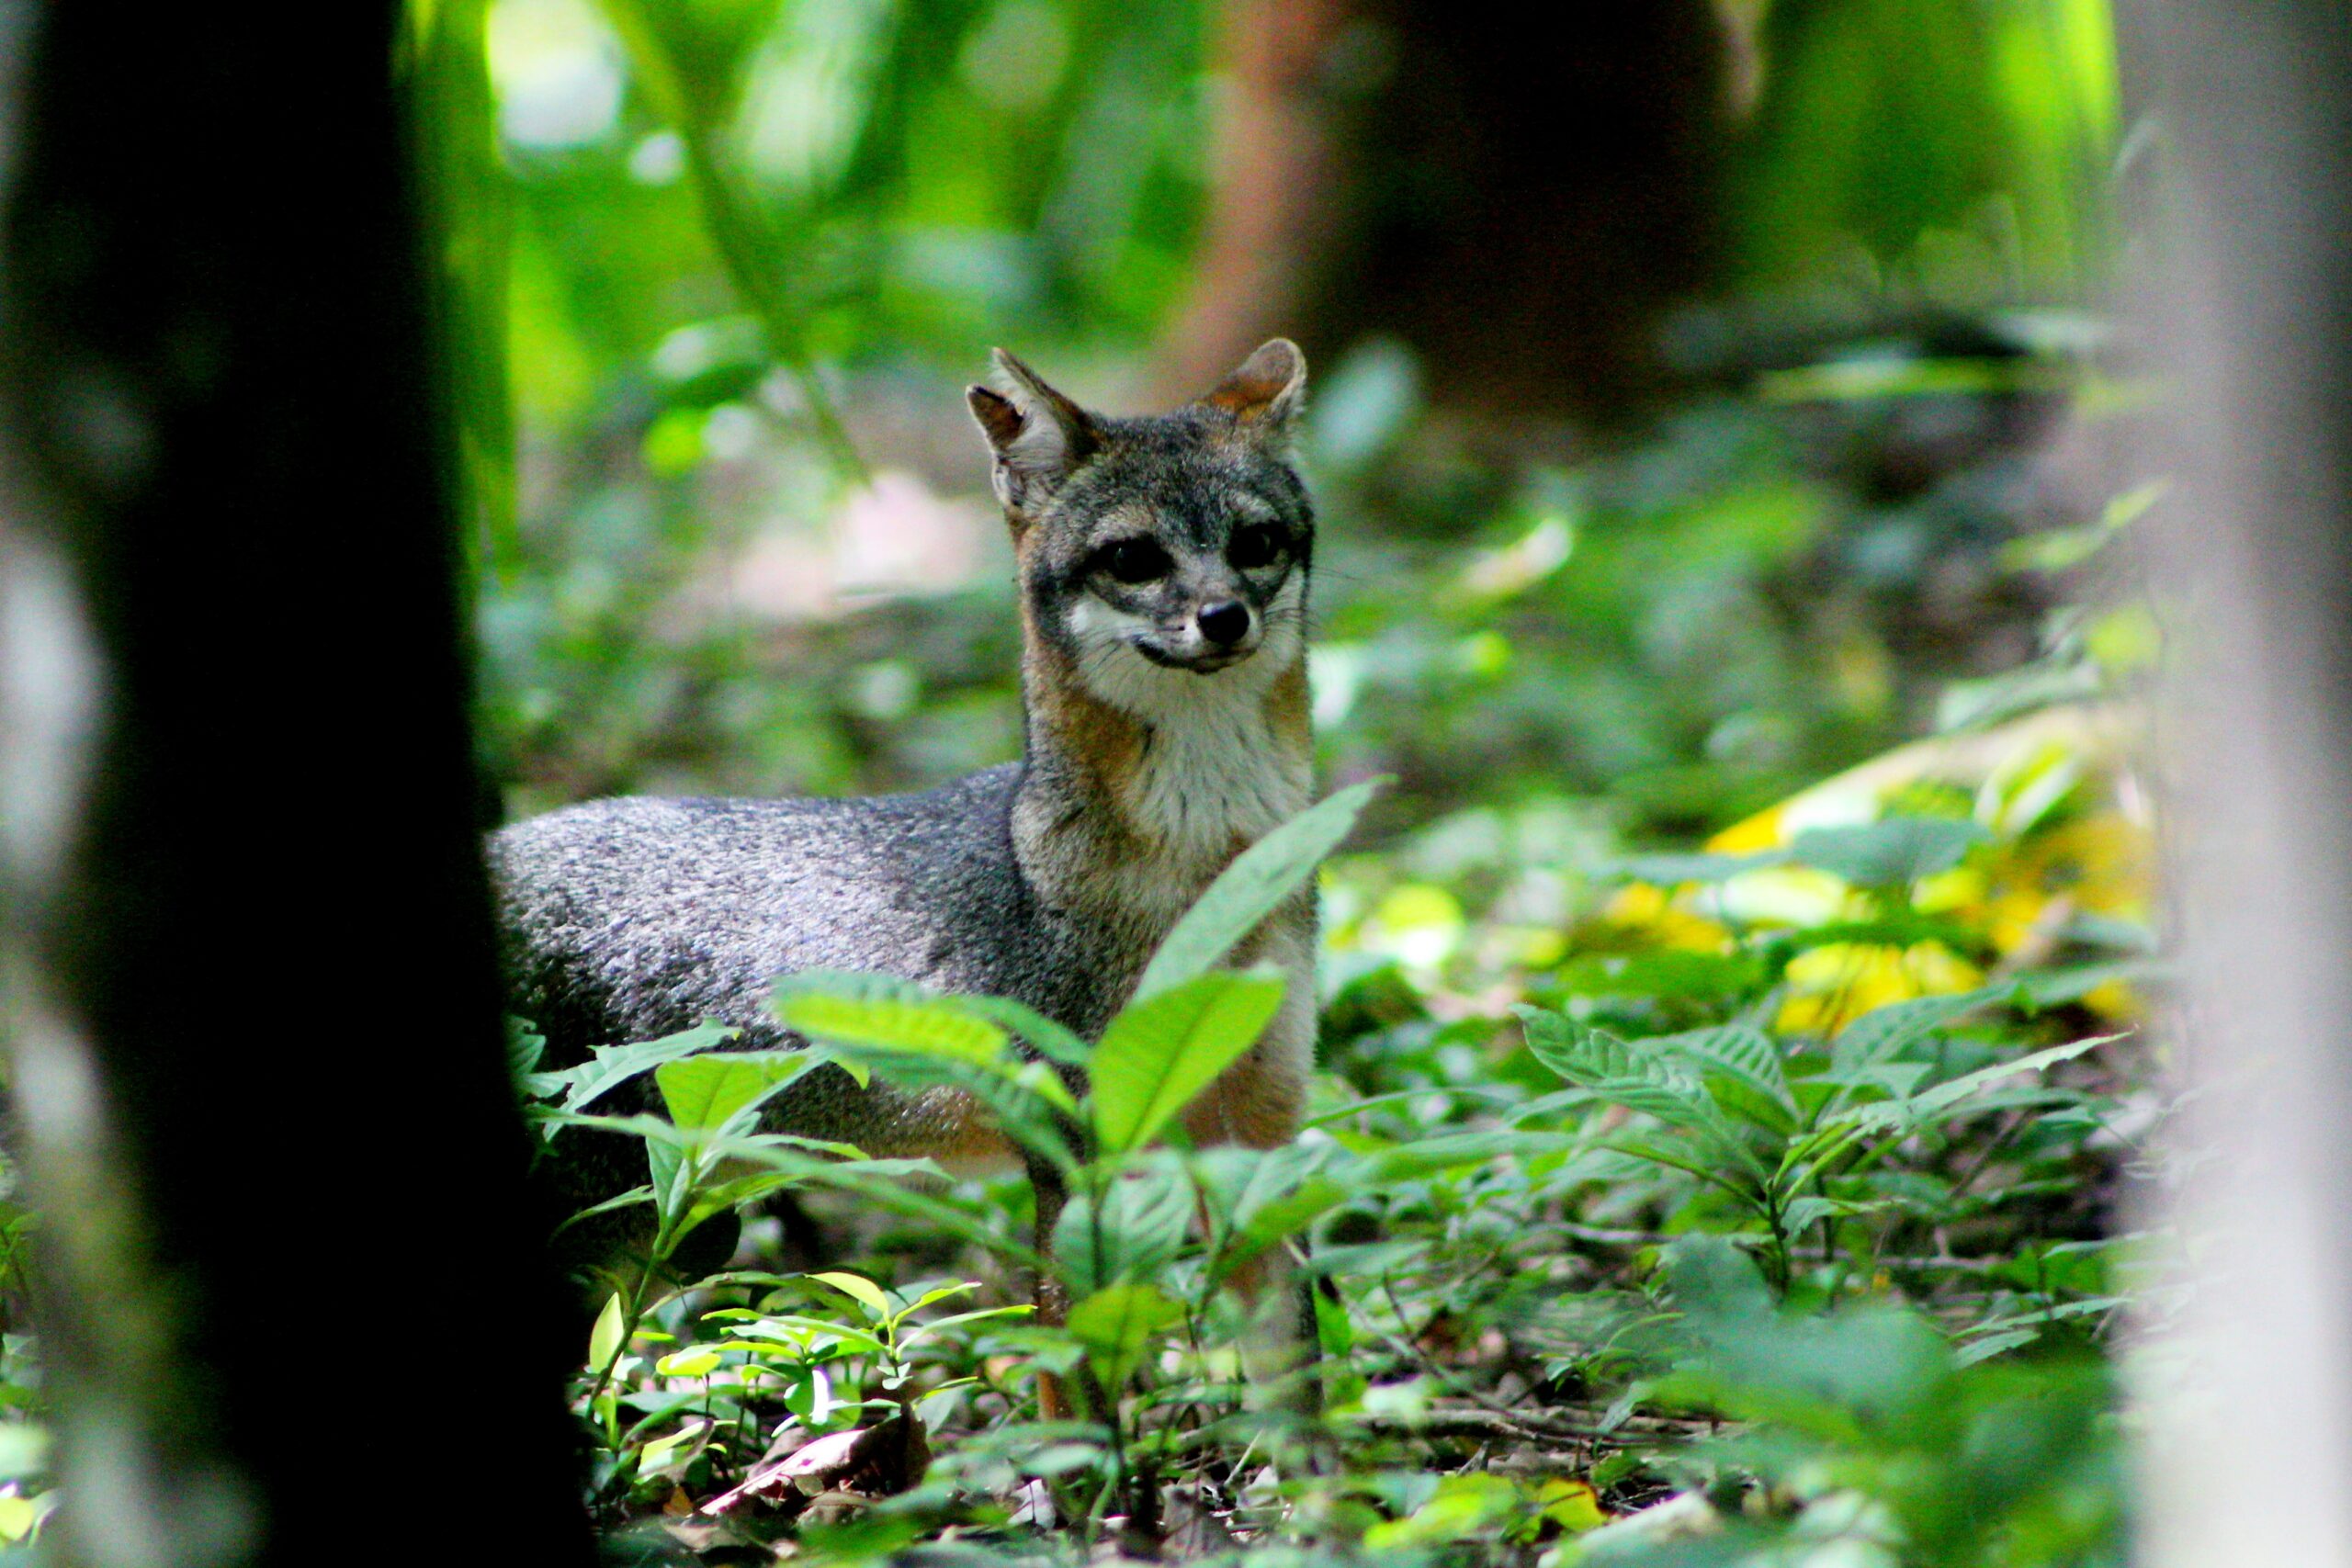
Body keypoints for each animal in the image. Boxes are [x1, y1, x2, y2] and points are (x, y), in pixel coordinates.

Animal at [491, 340, 1319, 1388]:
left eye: (1256, 543)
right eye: (1134, 558)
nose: (1222, 617)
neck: (1210, 860)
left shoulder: (1259, 1124)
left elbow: (1294, 1377)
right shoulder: (1075, 1150)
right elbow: (1078, 1378)